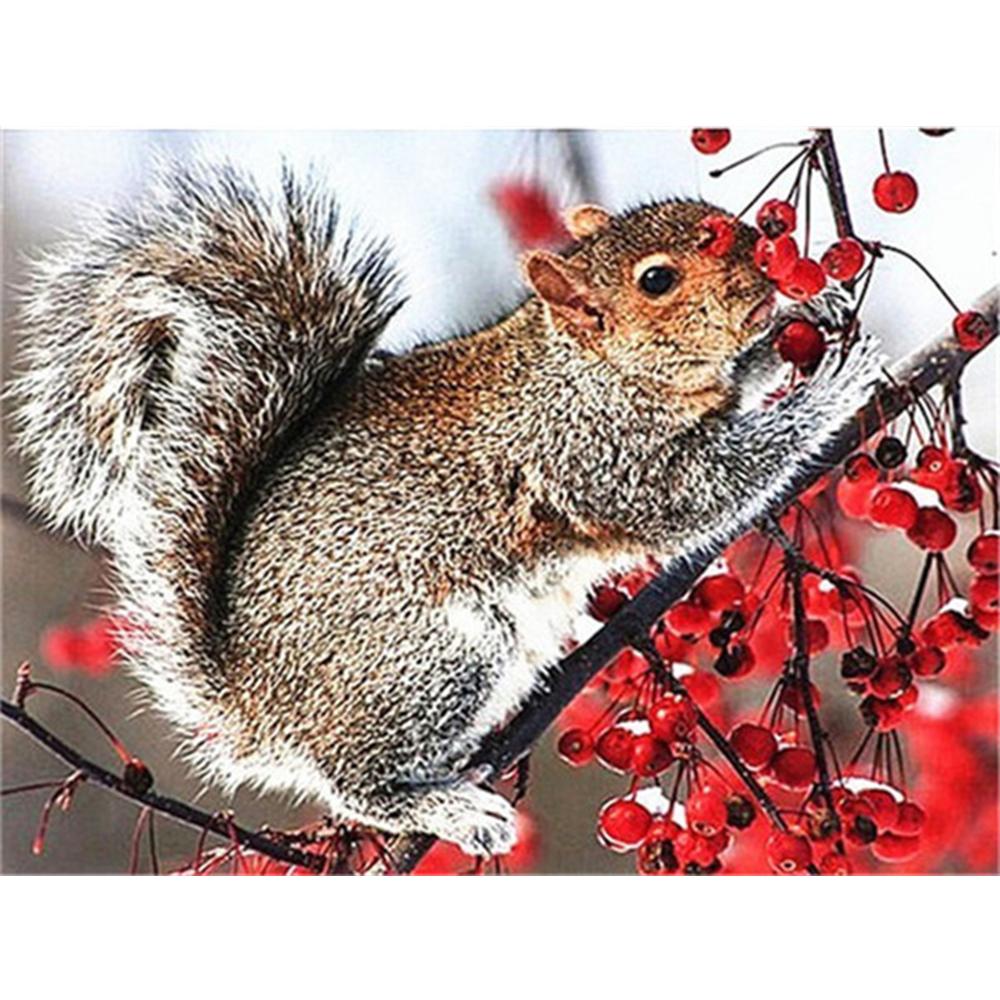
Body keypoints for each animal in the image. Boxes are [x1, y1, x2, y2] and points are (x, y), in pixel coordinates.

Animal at [8, 160, 880, 856]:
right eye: (657, 280)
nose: (763, 259)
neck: (587, 366)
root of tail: (255, 702)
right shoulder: (598, 456)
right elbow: (708, 488)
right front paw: (834, 387)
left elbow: (746, 380)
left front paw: (814, 315)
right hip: (435, 655)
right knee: (353, 782)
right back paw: (450, 810)